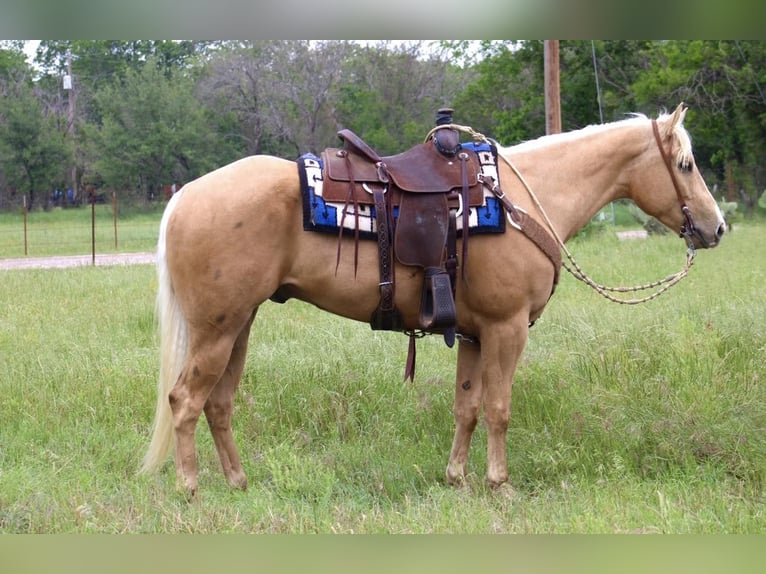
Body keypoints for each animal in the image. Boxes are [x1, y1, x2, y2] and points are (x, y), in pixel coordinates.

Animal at [142, 102, 728, 496]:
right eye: (685, 165)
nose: (716, 226)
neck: (523, 199)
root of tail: (186, 196)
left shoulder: (473, 334)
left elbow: (466, 407)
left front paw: (457, 478)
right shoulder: (506, 329)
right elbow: (499, 408)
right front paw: (499, 484)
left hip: (238, 325)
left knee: (218, 402)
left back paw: (238, 482)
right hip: (217, 330)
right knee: (185, 400)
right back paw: (191, 489)